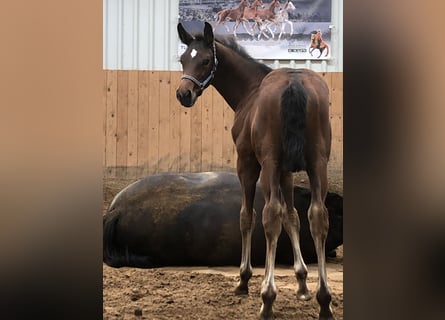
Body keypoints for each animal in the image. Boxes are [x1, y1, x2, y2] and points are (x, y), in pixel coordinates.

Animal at [176, 22, 332, 320]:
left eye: (205, 60)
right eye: (182, 59)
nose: (183, 94)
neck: (250, 90)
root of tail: (294, 83)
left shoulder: (248, 163)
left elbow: (247, 216)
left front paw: (244, 280)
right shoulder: (286, 171)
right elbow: (292, 217)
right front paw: (302, 283)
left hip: (268, 164)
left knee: (270, 216)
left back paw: (267, 298)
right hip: (318, 164)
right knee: (318, 216)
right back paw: (325, 301)